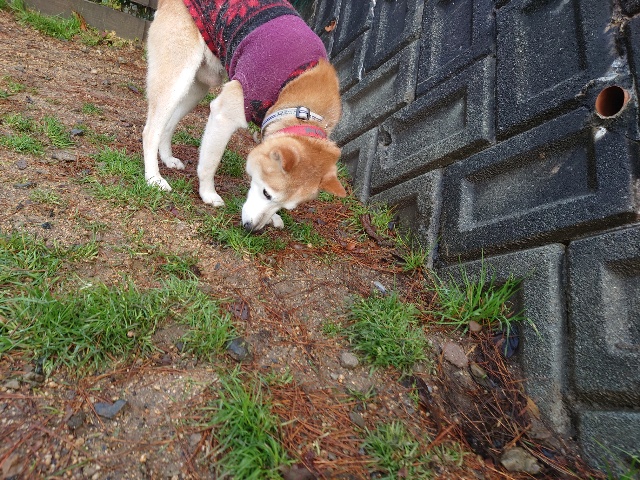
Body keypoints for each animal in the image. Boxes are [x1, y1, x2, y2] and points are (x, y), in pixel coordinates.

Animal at [142, 0, 347, 231]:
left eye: (285, 206)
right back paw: (154, 178)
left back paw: (167, 158)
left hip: (197, 87)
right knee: (151, 131)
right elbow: (209, 164)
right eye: (267, 193)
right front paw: (208, 194)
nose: (252, 229)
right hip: (177, 79)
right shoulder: (223, 115)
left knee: (167, 125)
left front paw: (274, 218)